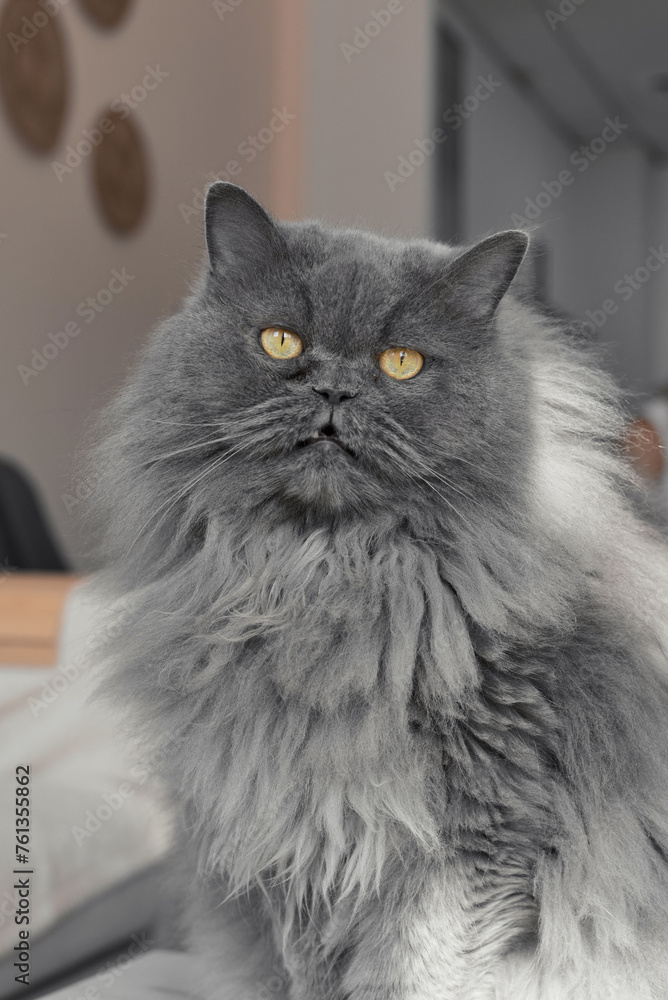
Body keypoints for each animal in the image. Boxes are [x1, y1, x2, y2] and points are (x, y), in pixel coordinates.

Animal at [86, 184, 668, 996]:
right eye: (281, 342)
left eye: (401, 363)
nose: (335, 386)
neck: (325, 579)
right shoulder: (282, 835)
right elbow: (303, 976)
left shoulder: (475, 843)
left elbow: (412, 974)